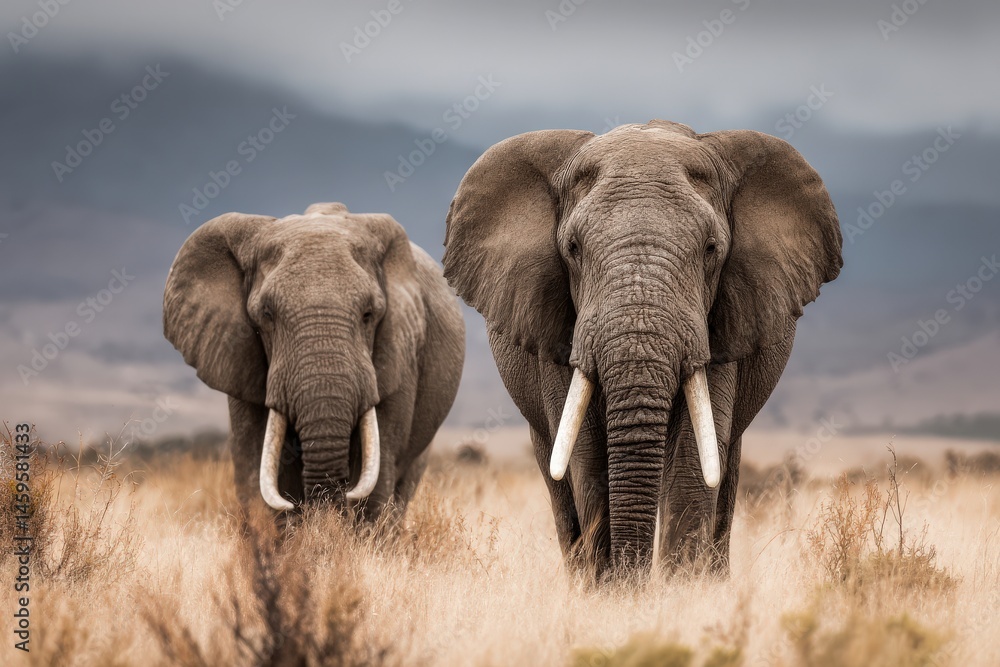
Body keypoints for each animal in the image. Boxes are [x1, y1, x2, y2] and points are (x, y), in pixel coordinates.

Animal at [163, 202, 465, 521]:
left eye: (369, 314)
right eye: (266, 315)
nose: (334, 497)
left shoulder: (401, 352)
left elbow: (378, 467)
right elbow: (258, 462)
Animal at [443, 121, 842, 580]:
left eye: (711, 249)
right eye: (573, 249)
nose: (630, 579)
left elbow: (693, 456)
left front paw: (676, 589)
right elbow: (586, 455)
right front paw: (611, 590)